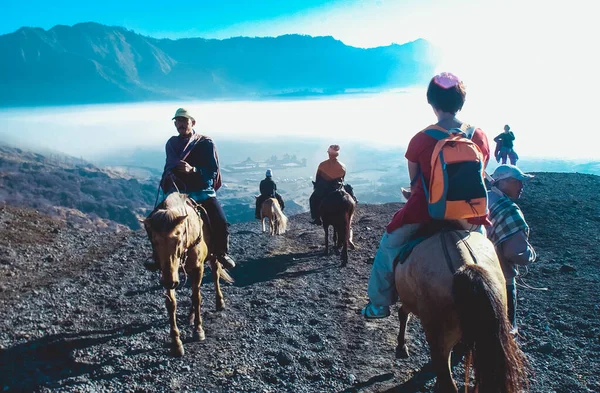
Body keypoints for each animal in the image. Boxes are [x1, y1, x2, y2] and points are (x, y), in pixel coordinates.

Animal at [143, 191, 232, 356]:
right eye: (154, 241)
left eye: (178, 239)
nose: (170, 282)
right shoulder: (168, 272)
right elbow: (171, 303)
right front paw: (176, 342)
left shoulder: (198, 268)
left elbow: (197, 298)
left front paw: (198, 330)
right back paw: (190, 316)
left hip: (213, 257)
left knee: (215, 276)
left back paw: (219, 302)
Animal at [396, 224, 528, 392]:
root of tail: (464, 263)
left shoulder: (409, 301)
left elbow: (403, 313)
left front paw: (401, 345)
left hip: (438, 340)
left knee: (448, 383)